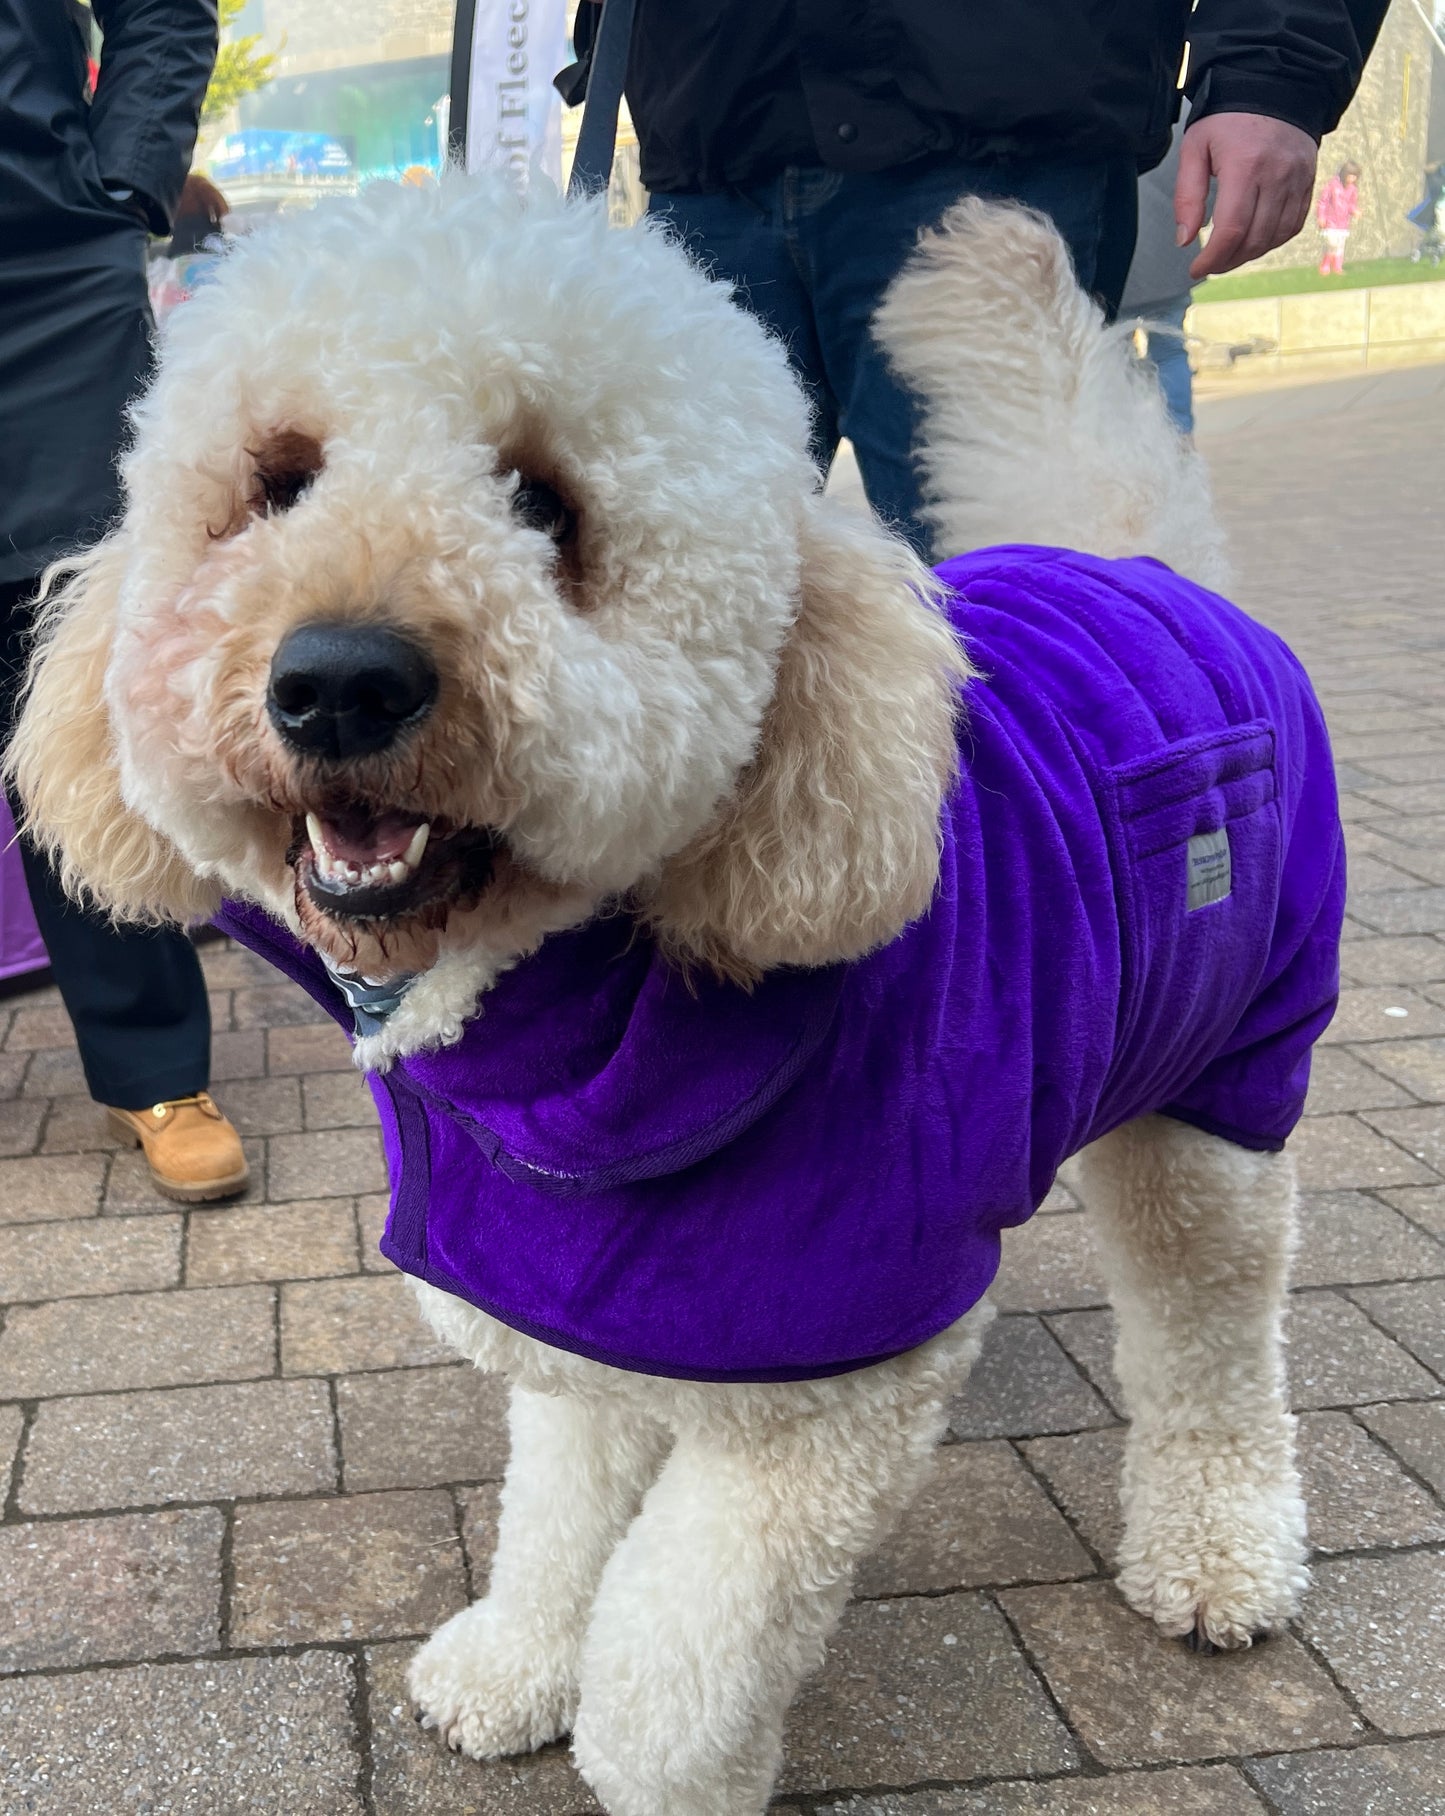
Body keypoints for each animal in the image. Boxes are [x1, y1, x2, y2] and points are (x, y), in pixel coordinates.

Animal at [8, 180, 1321, 1816]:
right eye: (277, 483)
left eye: (544, 506)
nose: (336, 680)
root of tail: (1153, 566)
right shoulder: (581, 1298)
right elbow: (558, 1515)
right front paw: (517, 1662)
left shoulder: (824, 1394)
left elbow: (670, 1671)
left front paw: (668, 1760)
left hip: (1222, 1095)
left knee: (1211, 1330)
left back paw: (1220, 1553)